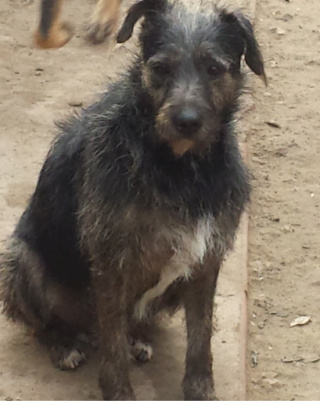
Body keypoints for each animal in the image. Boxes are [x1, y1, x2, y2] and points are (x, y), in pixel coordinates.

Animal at [0, 0, 264, 400]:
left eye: (214, 68)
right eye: (160, 68)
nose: (186, 121)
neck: (179, 168)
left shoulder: (207, 259)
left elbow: (201, 338)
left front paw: (201, 391)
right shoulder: (112, 262)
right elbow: (112, 344)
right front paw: (119, 392)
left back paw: (137, 337)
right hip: (20, 259)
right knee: (42, 322)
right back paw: (63, 343)